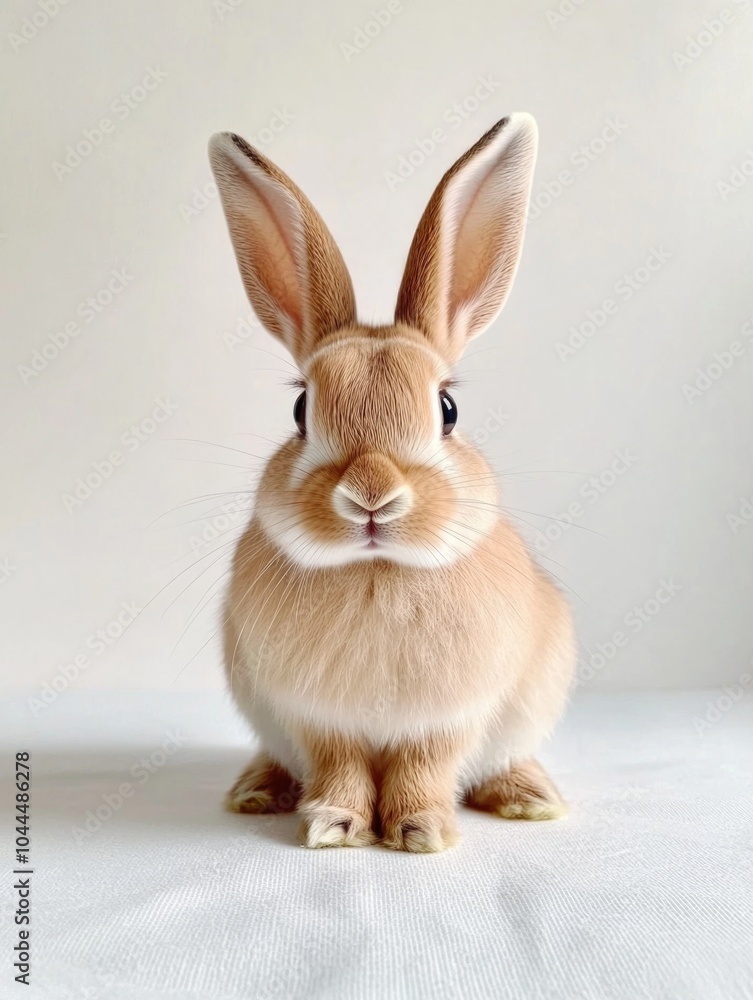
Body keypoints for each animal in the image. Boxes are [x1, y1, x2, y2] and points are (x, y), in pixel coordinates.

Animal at [208, 113, 575, 853]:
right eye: (301, 411)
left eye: (448, 409)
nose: (371, 496)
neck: (377, 572)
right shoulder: (320, 721)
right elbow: (341, 767)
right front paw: (334, 825)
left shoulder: (446, 720)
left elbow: (422, 769)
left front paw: (420, 830)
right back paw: (256, 790)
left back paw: (530, 796)